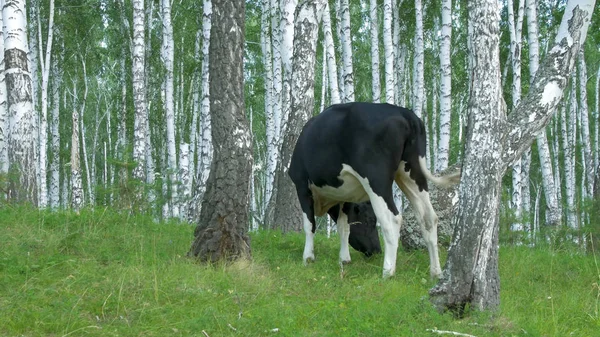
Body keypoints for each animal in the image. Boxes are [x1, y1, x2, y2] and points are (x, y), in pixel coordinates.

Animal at [288, 103, 460, 278]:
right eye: (368, 220)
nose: (377, 250)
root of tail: (404, 112)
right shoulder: (345, 195)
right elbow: (344, 227)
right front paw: (344, 259)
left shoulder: (301, 185)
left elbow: (309, 225)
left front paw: (308, 258)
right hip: (413, 173)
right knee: (429, 217)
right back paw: (436, 272)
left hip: (376, 180)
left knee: (393, 219)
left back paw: (388, 272)